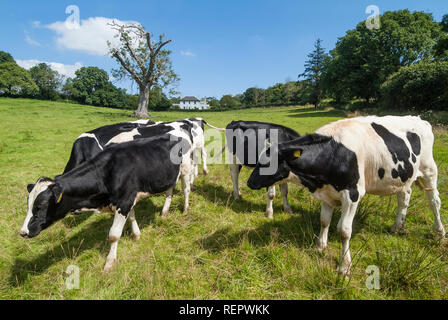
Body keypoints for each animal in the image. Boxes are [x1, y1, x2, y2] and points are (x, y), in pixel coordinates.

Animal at [20, 134, 191, 272]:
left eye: (41, 205)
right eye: (28, 204)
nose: (23, 232)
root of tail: (175, 135)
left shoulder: (125, 200)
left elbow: (114, 235)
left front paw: (109, 263)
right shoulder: (127, 199)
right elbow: (132, 217)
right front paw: (136, 235)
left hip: (186, 170)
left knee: (186, 189)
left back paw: (185, 209)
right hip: (169, 176)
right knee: (169, 192)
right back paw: (164, 213)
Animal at [247, 116, 446, 274]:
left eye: (269, 163)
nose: (249, 183)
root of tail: (420, 119)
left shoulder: (352, 194)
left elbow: (344, 230)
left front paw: (344, 265)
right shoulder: (326, 193)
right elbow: (324, 221)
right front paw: (320, 246)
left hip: (429, 170)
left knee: (434, 202)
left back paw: (440, 233)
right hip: (403, 176)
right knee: (404, 197)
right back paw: (398, 226)